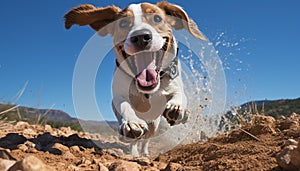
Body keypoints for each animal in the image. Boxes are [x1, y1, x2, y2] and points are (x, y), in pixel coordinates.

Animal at [64, 1, 205, 157]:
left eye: (157, 18)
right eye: (123, 23)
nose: (141, 37)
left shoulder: (173, 85)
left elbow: (179, 94)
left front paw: (177, 107)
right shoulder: (117, 98)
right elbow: (124, 105)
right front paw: (132, 123)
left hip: (154, 124)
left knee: (146, 139)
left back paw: (145, 152)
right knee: (136, 140)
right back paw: (135, 152)